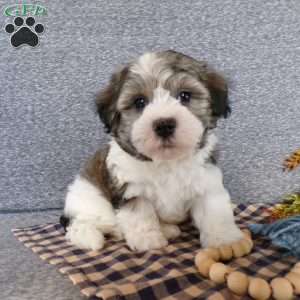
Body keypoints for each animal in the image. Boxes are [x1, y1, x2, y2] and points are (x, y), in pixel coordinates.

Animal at [61, 50, 244, 252]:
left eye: (185, 96)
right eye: (139, 102)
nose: (164, 125)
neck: (166, 161)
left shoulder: (206, 181)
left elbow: (214, 212)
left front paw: (224, 239)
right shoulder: (131, 189)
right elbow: (140, 214)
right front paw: (147, 239)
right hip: (89, 200)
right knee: (83, 223)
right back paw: (92, 236)